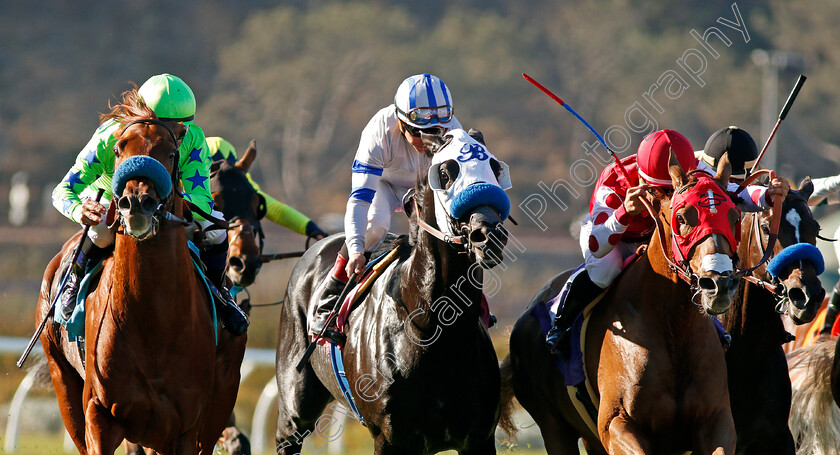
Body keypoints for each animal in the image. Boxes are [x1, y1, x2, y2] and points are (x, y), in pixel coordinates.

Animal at [278, 129, 512, 455]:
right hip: (295, 408)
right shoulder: (389, 439)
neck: (432, 329)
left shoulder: (478, 439)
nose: (489, 234)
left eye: (495, 167)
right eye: (445, 173)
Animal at [502, 156, 740, 452]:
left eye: (734, 216)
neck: (672, 326)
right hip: (553, 426)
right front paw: (630, 204)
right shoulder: (617, 424)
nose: (720, 284)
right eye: (682, 217)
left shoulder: (716, 423)